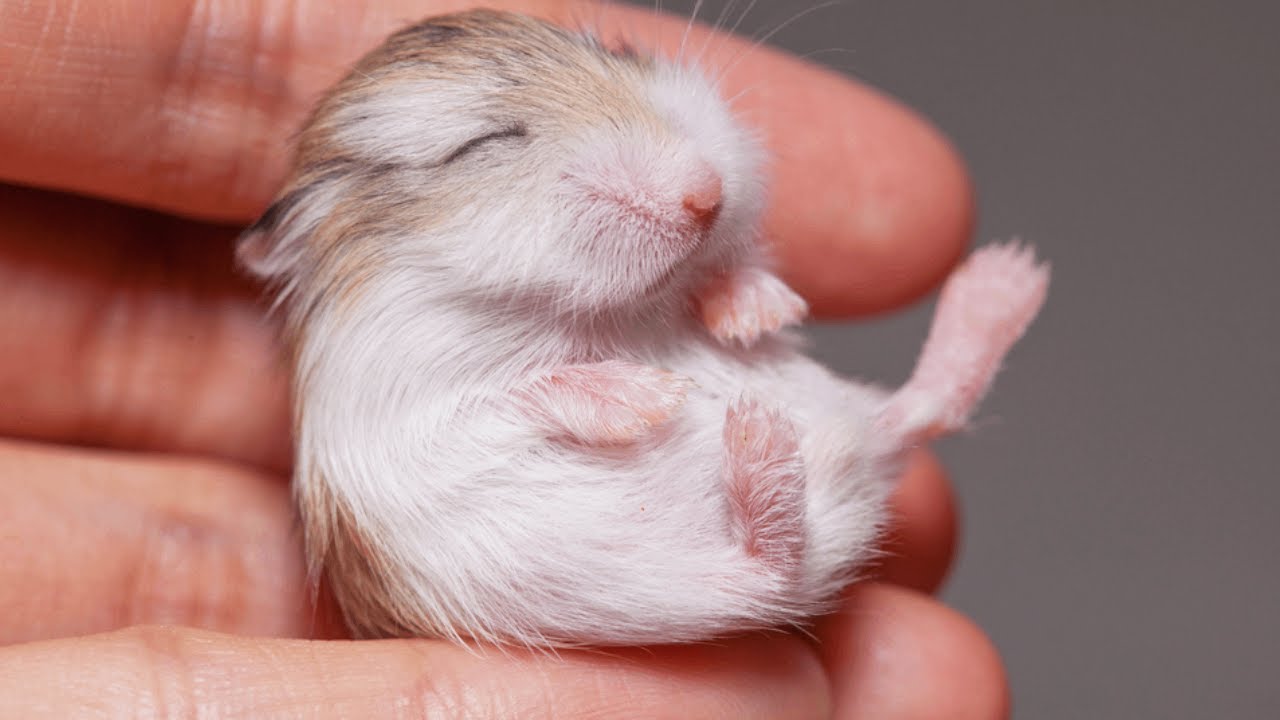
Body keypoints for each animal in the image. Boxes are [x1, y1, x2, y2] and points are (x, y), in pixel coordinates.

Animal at [238, 9, 1048, 648]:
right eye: (485, 142)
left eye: (616, 52)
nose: (706, 194)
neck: (608, 310)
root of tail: (857, 462)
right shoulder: (405, 405)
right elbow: (527, 387)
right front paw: (656, 397)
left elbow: (723, 274)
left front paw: (755, 310)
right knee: (769, 567)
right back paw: (760, 438)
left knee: (923, 408)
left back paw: (1004, 280)